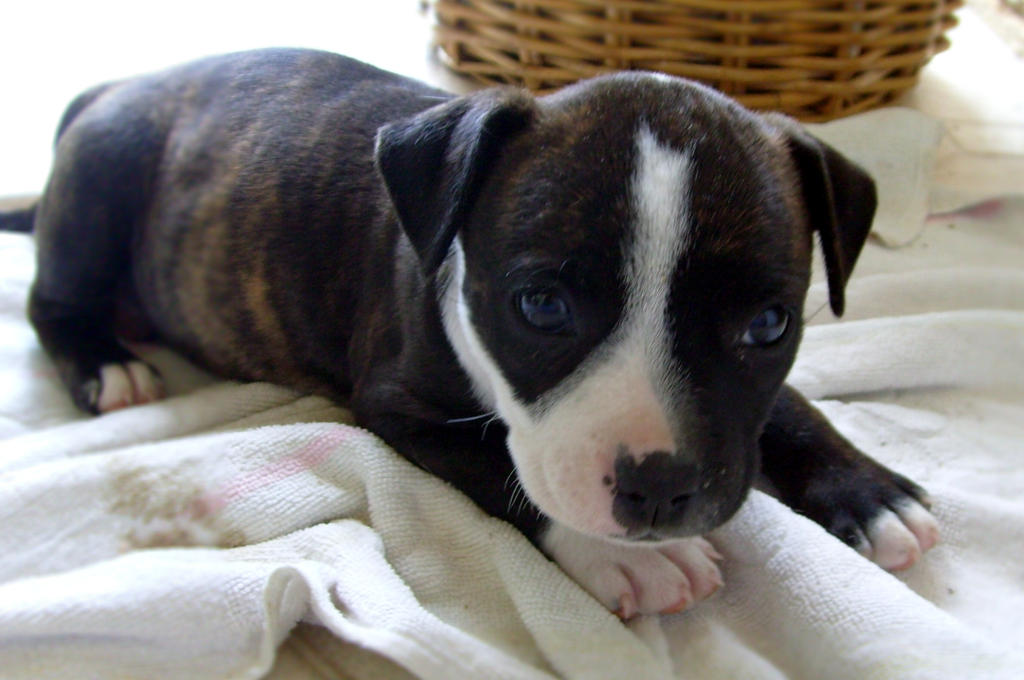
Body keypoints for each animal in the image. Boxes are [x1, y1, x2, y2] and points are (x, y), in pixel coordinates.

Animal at [4, 50, 937, 618]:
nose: (660, 488)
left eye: (769, 324)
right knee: (49, 301)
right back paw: (107, 365)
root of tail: (117, 87)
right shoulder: (398, 406)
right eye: (542, 307)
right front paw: (626, 559)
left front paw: (868, 492)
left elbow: (785, 405)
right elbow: (505, 467)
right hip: (106, 176)